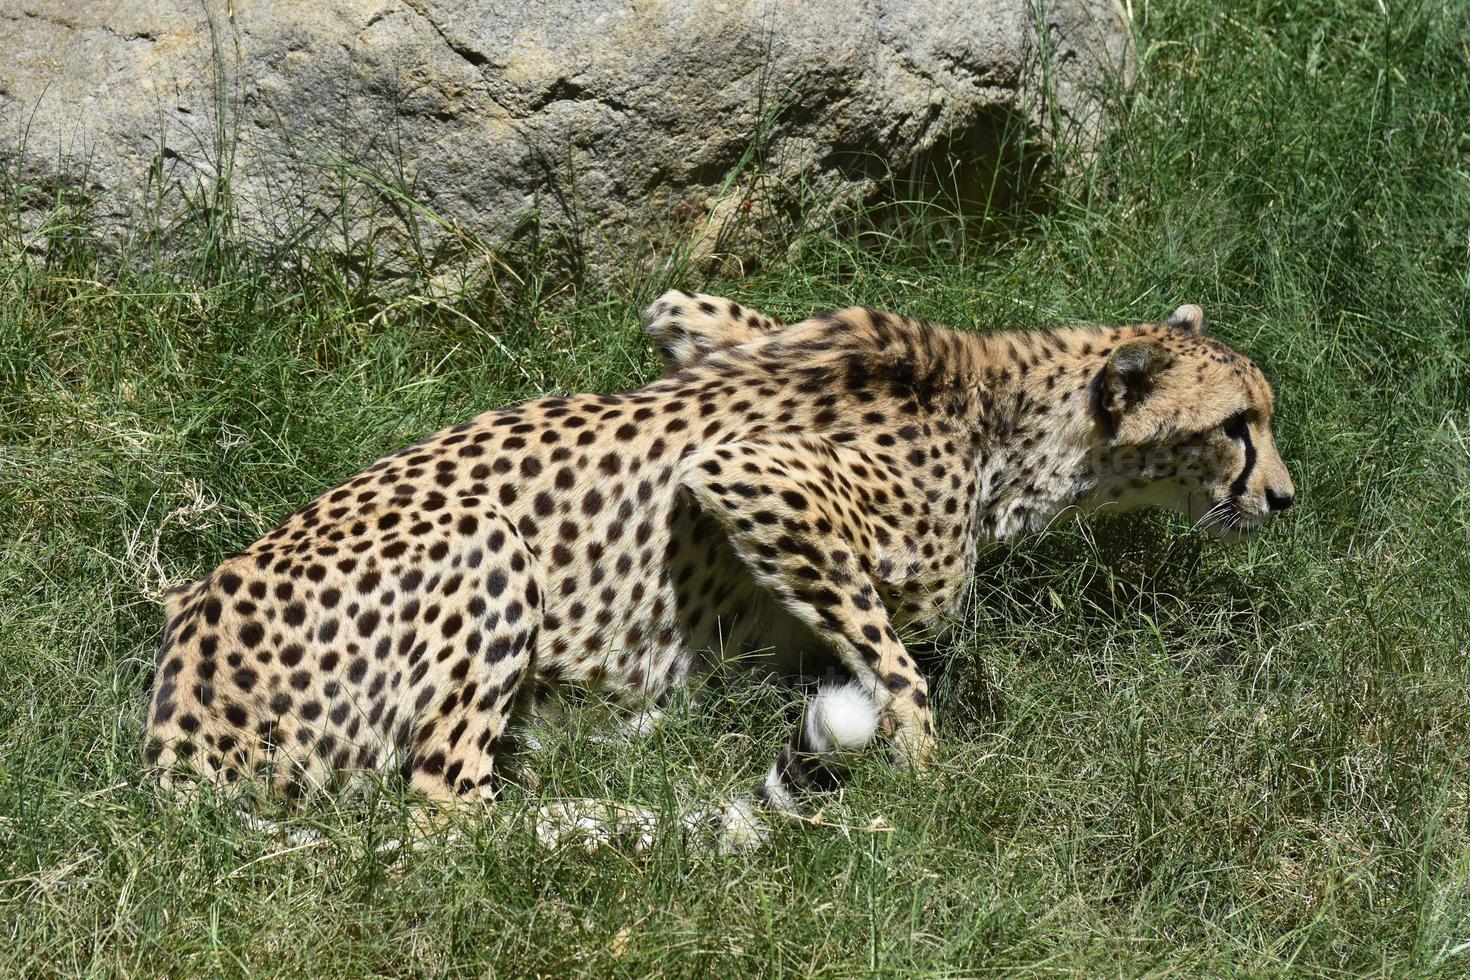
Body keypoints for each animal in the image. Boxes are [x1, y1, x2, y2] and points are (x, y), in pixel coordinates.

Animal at [149, 290, 1293, 846]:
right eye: (1237, 425)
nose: (1283, 498)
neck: (1002, 412)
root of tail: (178, 739)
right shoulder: (748, 473)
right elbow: (901, 650)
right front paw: (930, 773)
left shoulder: (699, 323)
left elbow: (688, 314)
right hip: (483, 539)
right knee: (442, 812)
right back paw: (624, 822)